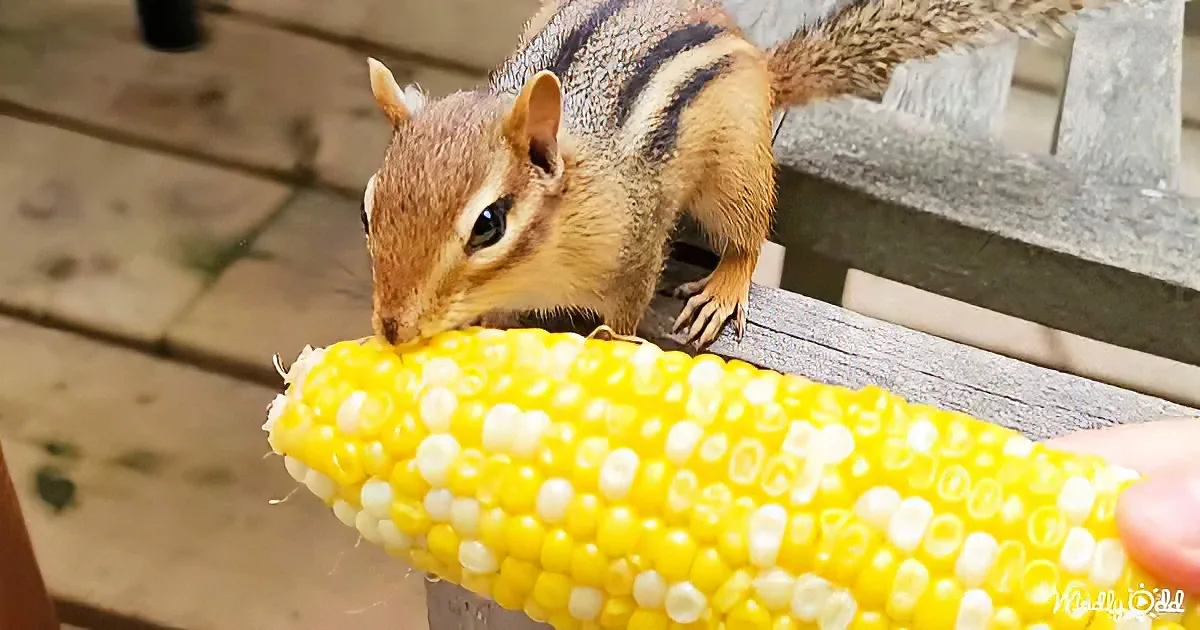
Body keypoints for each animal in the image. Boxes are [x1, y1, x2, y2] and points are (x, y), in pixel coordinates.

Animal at [360, 0, 1107, 349]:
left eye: (489, 224)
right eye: (367, 211)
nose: (391, 330)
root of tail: (759, 63)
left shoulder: (635, 243)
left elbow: (628, 306)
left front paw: (612, 340)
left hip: (736, 173)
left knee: (748, 232)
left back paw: (724, 286)